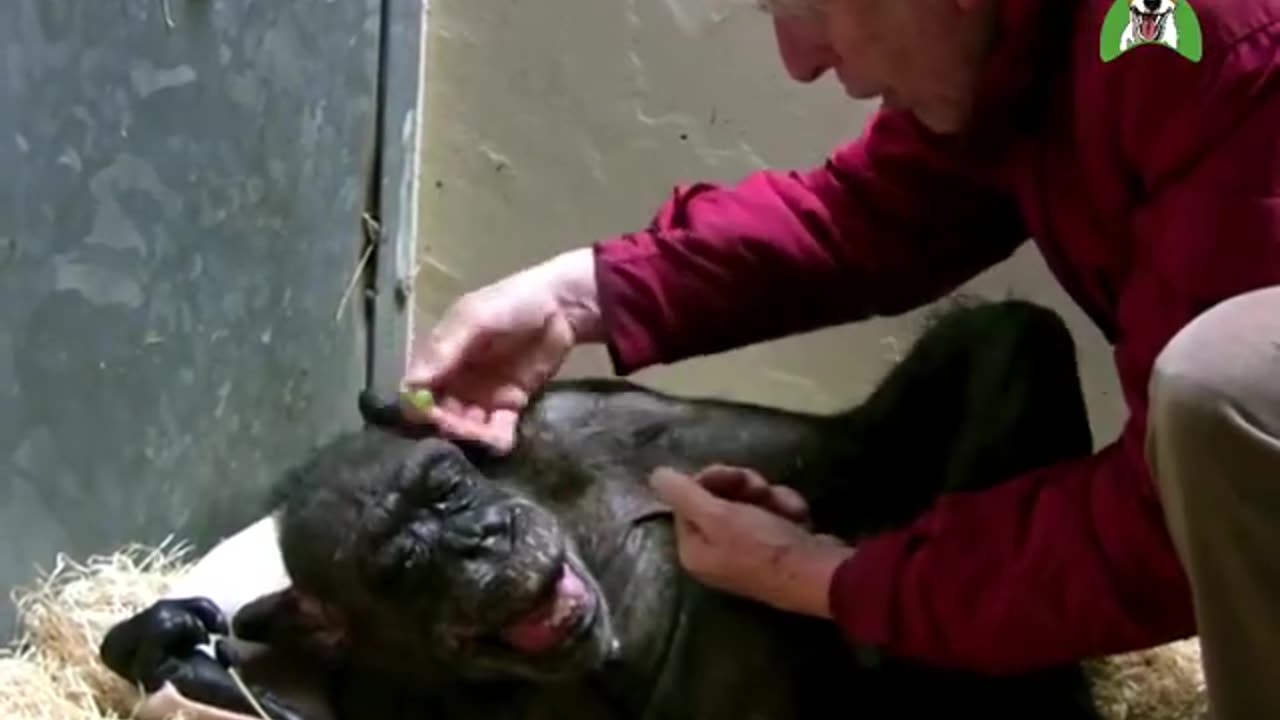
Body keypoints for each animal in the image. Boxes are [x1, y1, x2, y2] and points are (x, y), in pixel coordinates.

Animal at [102, 294, 1100, 712]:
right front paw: (166, 639)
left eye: (449, 490)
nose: (483, 537)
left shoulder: (606, 423)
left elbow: (856, 447)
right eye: (409, 565)